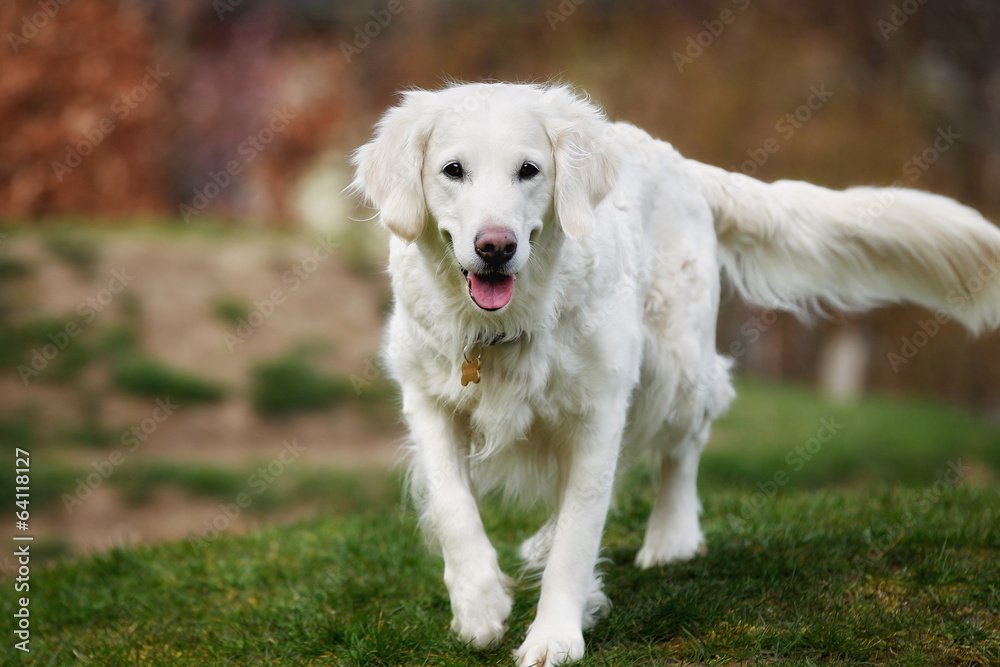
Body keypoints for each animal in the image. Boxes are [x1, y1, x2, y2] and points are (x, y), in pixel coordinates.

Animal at [350, 81, 1000, 664]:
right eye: (452, 170)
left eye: (529, 170)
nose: (495, 246)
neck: (502, 329)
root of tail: (682, 163)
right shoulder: (427, 398)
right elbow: (454, 506)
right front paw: (479, 604)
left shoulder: (599, 408)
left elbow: (580, 536)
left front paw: (555, 635)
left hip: (674, 368)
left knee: (685, 444)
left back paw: (670, 536)